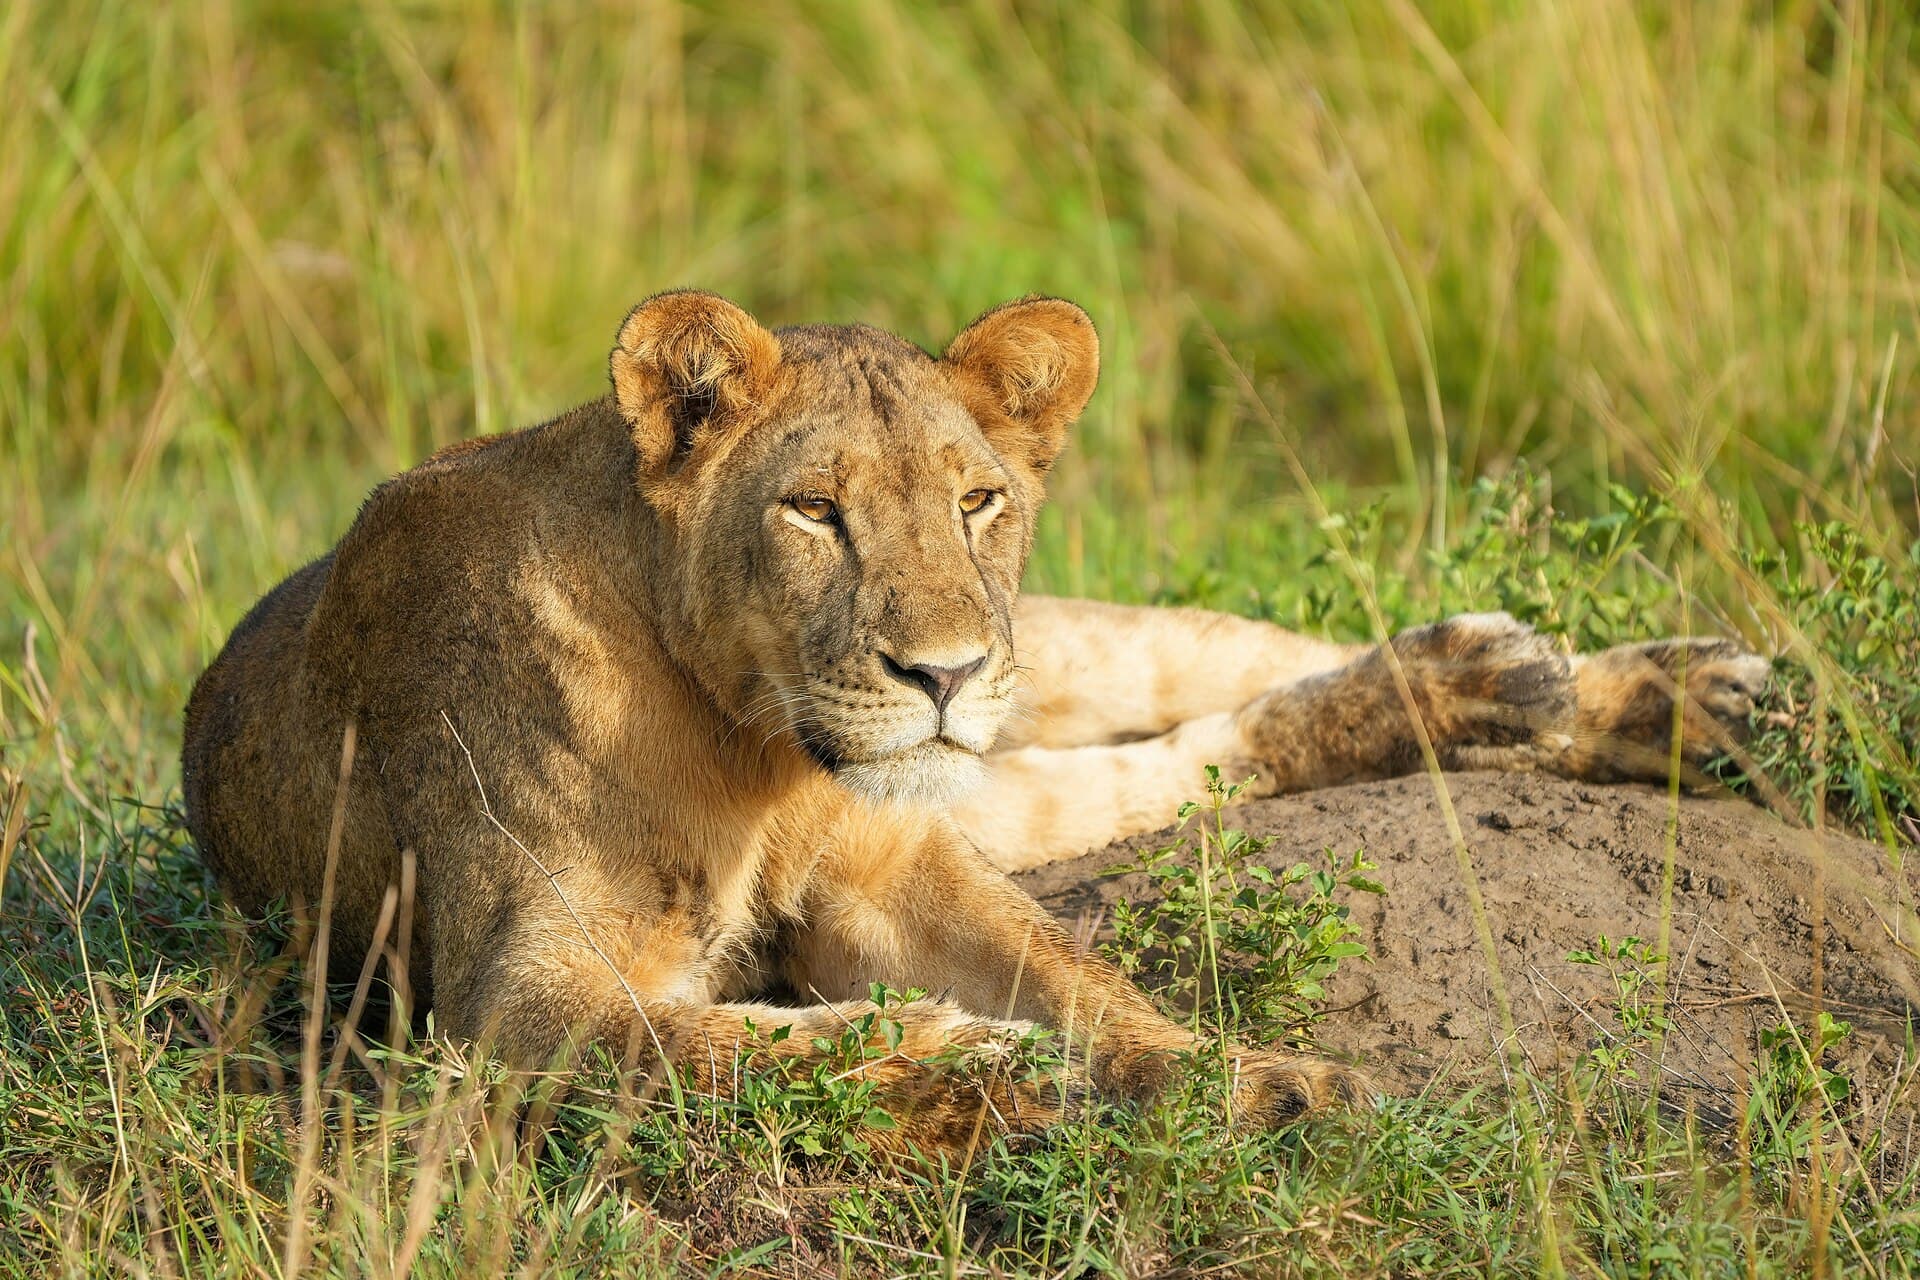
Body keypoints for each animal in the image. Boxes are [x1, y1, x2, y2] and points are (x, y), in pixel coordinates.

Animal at [180, 290, 1769, 1153]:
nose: (939, 672)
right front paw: (987, 1072)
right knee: (1171, 764)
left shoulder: (894, 863)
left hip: (1054, 658)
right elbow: (720, 1049)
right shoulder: (511, 1005)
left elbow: (1081, 977)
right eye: (815, 511)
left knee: (1224, 684)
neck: (753, 752)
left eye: (976, 500)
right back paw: (1562, 695)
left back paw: (1622, 692)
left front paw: (1254, 1080)